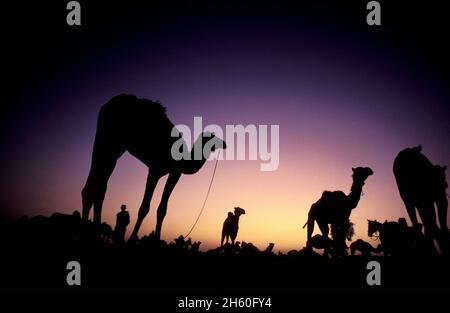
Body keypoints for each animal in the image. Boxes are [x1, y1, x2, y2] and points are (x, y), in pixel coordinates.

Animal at [81, 94, 227, 240]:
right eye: (213, 137)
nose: (225, 143)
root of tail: (109, 103)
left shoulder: (173, 172)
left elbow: (162, 210)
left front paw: (156, 239)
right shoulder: (155, 170)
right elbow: (144, 208)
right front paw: (132, 239)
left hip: (110, 148)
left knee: (98, 188)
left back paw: (94, 233)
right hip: (110, 142)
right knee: (94, 187)